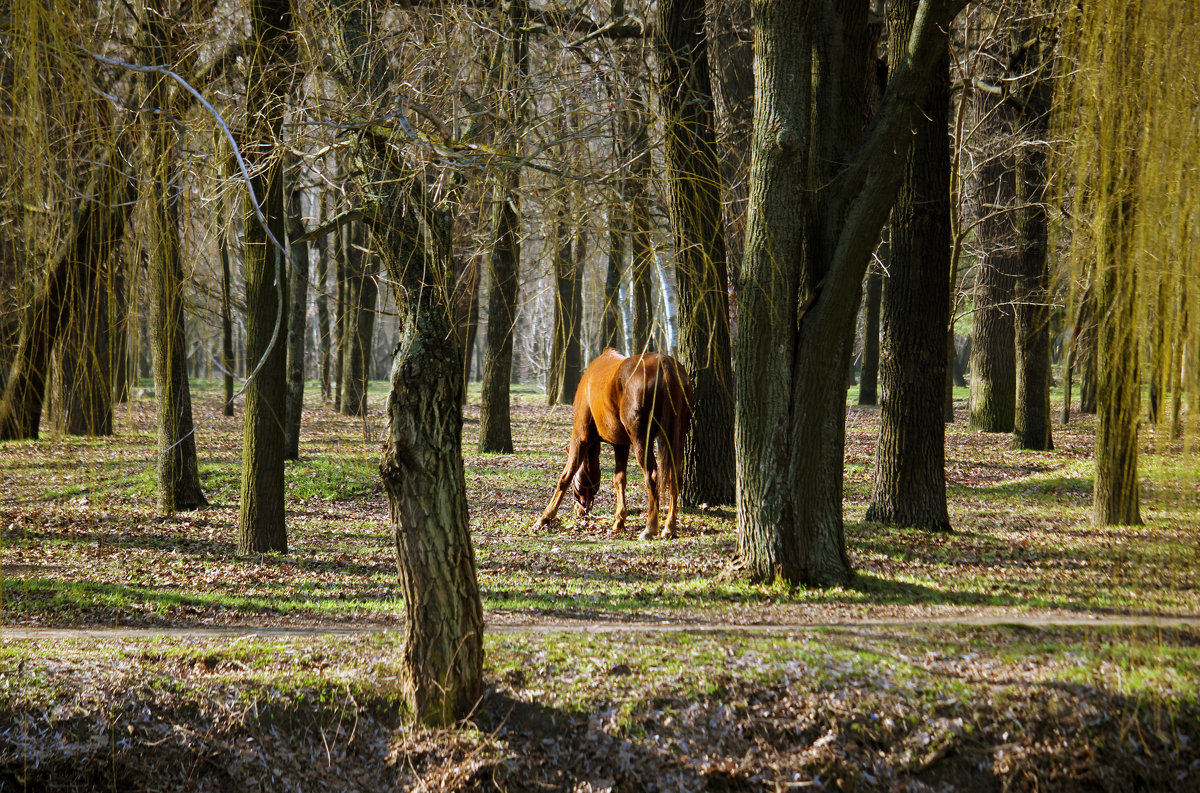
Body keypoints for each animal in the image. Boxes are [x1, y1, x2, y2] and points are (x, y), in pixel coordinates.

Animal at [537, 350, 696, 542]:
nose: (580, 510)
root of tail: (664, 363)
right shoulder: (621, 445)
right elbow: (619, 479)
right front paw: (619, 521)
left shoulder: (581, 437)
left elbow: (566, 476)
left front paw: (545, 517)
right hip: (676, 436)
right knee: (675, 477)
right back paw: (669, 527)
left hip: (641, 439)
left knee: (652, 476)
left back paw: (650, 528)